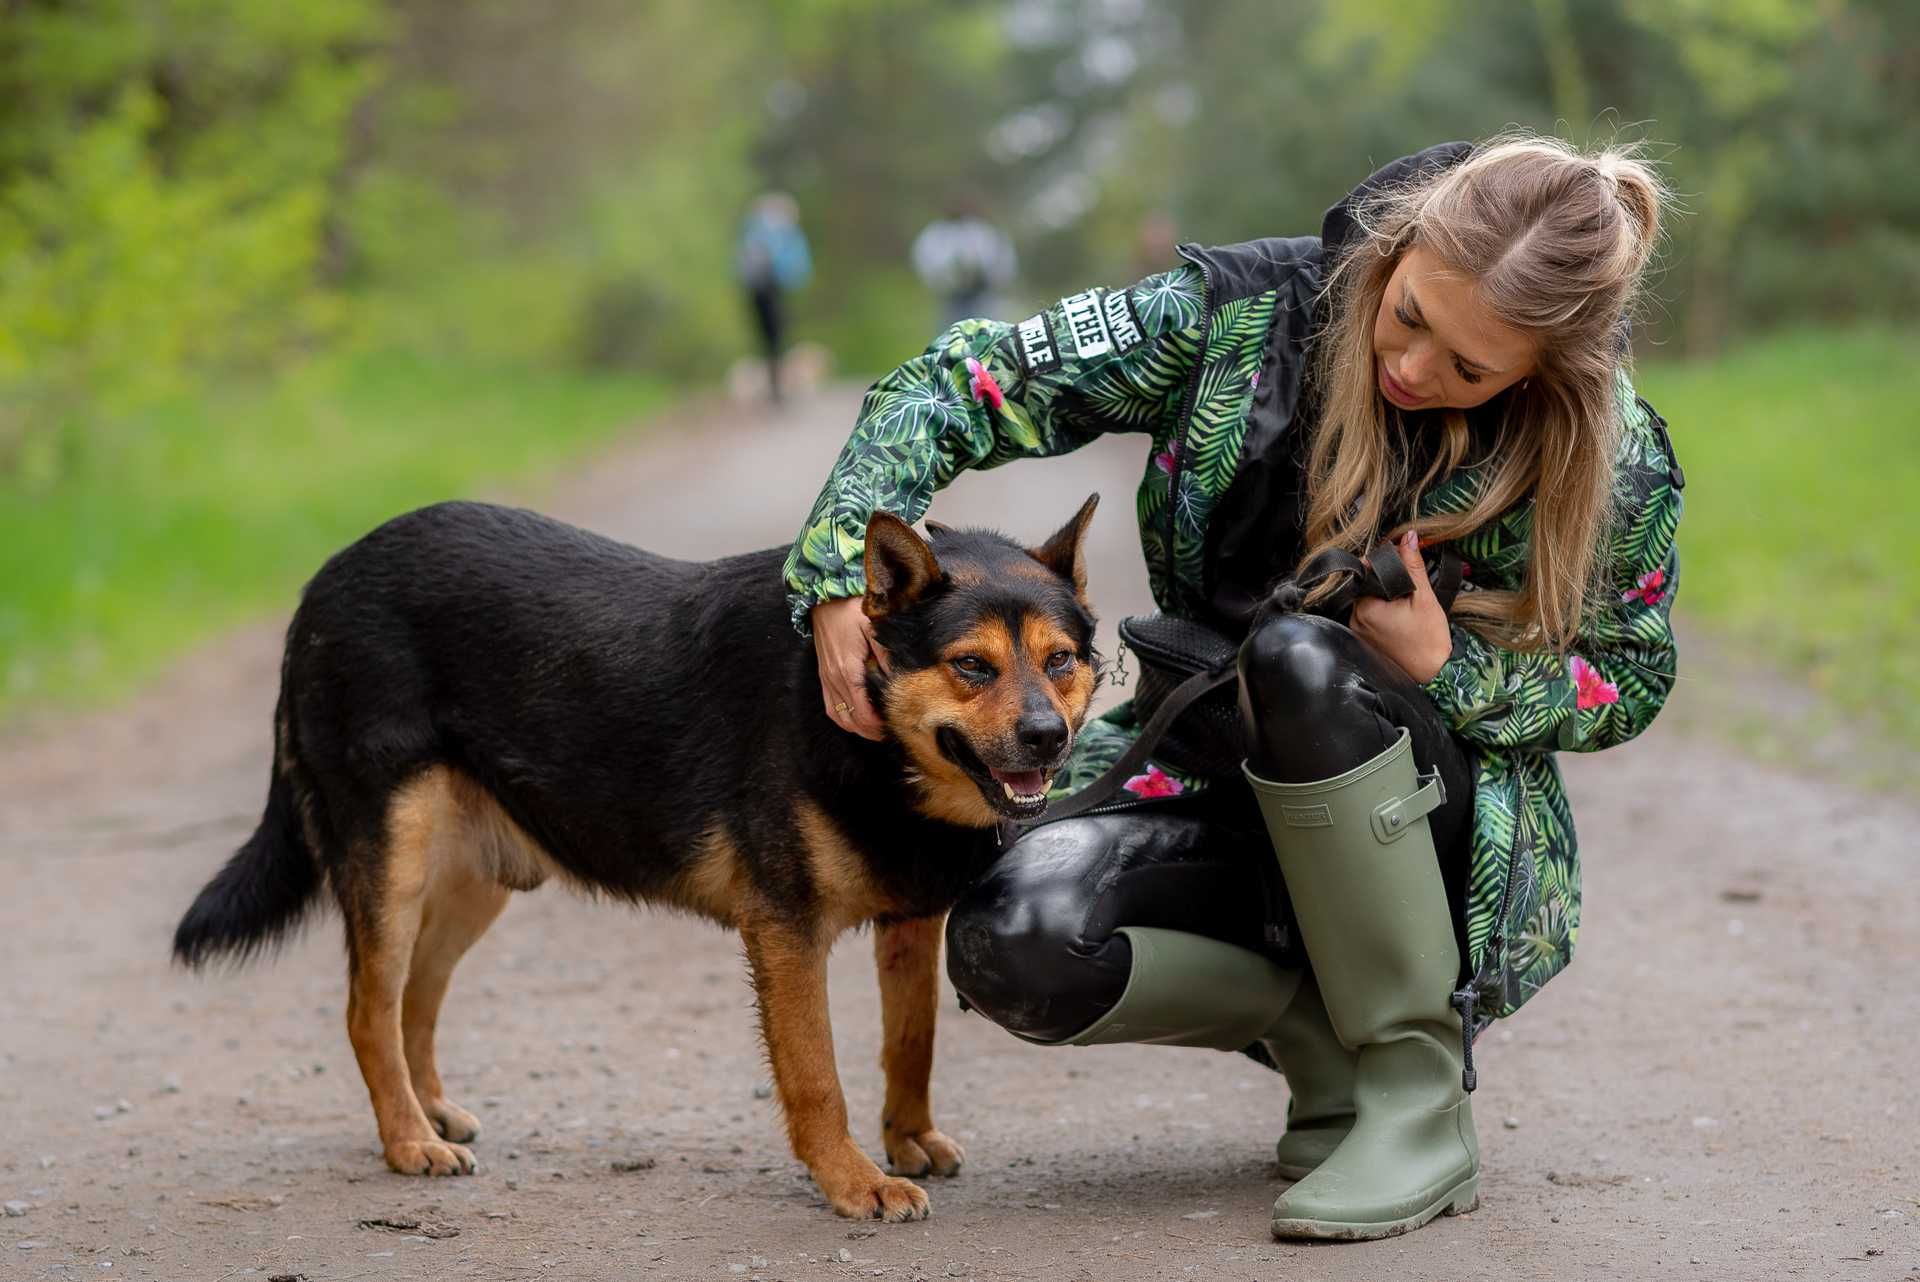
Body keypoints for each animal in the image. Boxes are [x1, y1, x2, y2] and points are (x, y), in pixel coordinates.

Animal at [172, 495, 1105, 1220]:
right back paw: (407, 1143)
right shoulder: (786, 934)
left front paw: (907, 1140)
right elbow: (817, 1078)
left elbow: (911, 1045)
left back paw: (428, 1112)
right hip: (391, 861)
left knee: (413, 1001)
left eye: (1060, 661)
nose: (1046, 738)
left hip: (473, 883)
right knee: (368, 1012)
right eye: (971, 667)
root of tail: (323, 583)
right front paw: (852, 1182)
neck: (869, 735)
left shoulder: (910, 921)